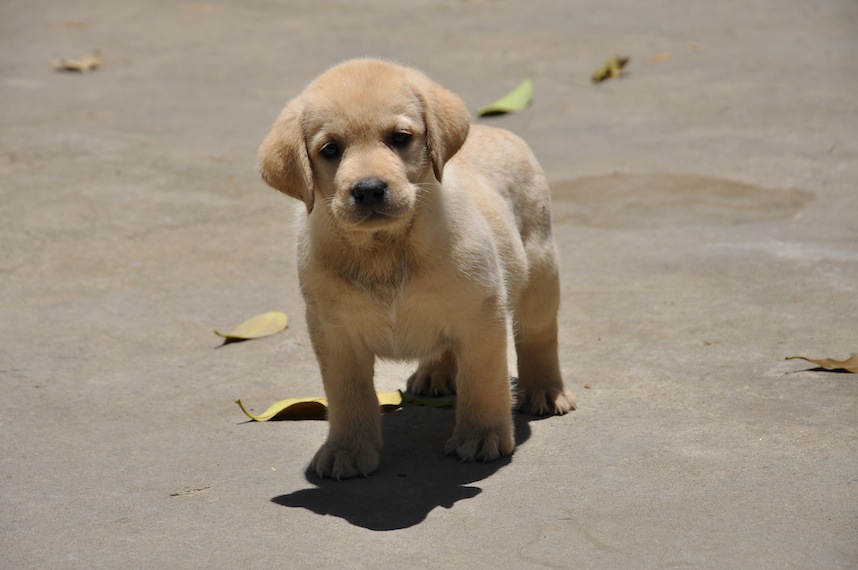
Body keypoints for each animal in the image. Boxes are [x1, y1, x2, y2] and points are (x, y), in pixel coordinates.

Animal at [258, 59, 574, 479]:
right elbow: (348, 397)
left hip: (540, 270)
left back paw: (545, 390)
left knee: (539, 335)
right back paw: (434, 373)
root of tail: (490, 129)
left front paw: (481, 434)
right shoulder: (334, 333)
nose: (369, 189)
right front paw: (346, 449)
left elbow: (483, 381)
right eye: (330, 149)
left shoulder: (481, 317)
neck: (385, 249)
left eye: (400, 138)